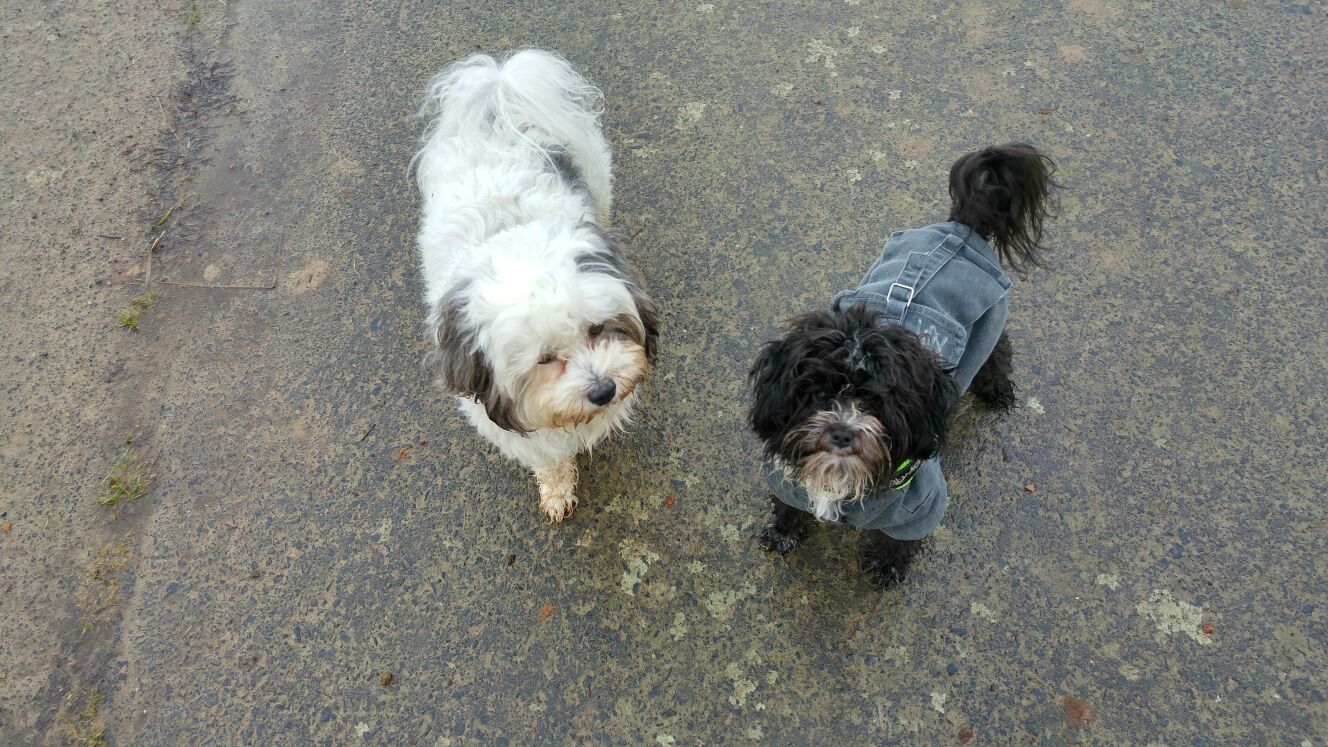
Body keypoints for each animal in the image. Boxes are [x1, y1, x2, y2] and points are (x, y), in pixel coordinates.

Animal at [414, 50, 658, 523]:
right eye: (545, 359)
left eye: (597, 329)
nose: (604, 390)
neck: (512, 238)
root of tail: (500, 100)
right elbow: (548, 457)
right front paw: (558, 488)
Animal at [749, 143, 1056, 586]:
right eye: (820, 393)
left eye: (876, 402)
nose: (842, 433)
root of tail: (960, 229)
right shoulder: (786, 482)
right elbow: (788, 507)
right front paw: (783, 531)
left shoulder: (923, 503)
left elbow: (899, 540)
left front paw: (887, 565)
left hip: (991, 324)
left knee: (998, 354)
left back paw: (997, 391)